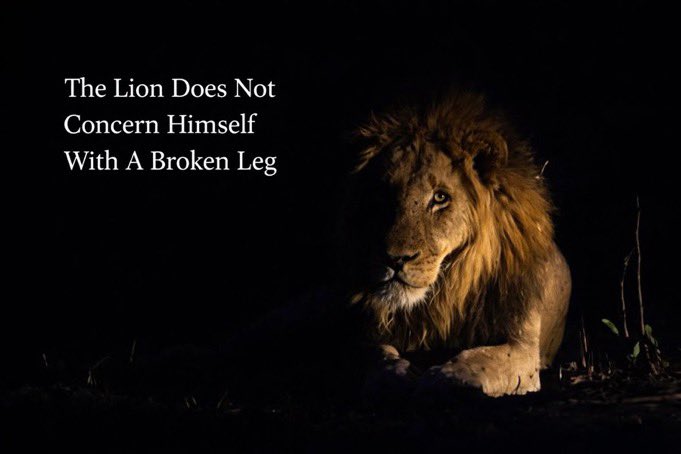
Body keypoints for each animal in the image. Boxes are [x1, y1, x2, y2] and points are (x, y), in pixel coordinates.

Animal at [340, 91, 571, 397]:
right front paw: (396, 375)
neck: (447, 291)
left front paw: (443, 378)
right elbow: (376, 355)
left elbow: (483, 358)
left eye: (440, 197)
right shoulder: (364, 335)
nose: (395, 259)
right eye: (384, 193)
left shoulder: (522, 346)